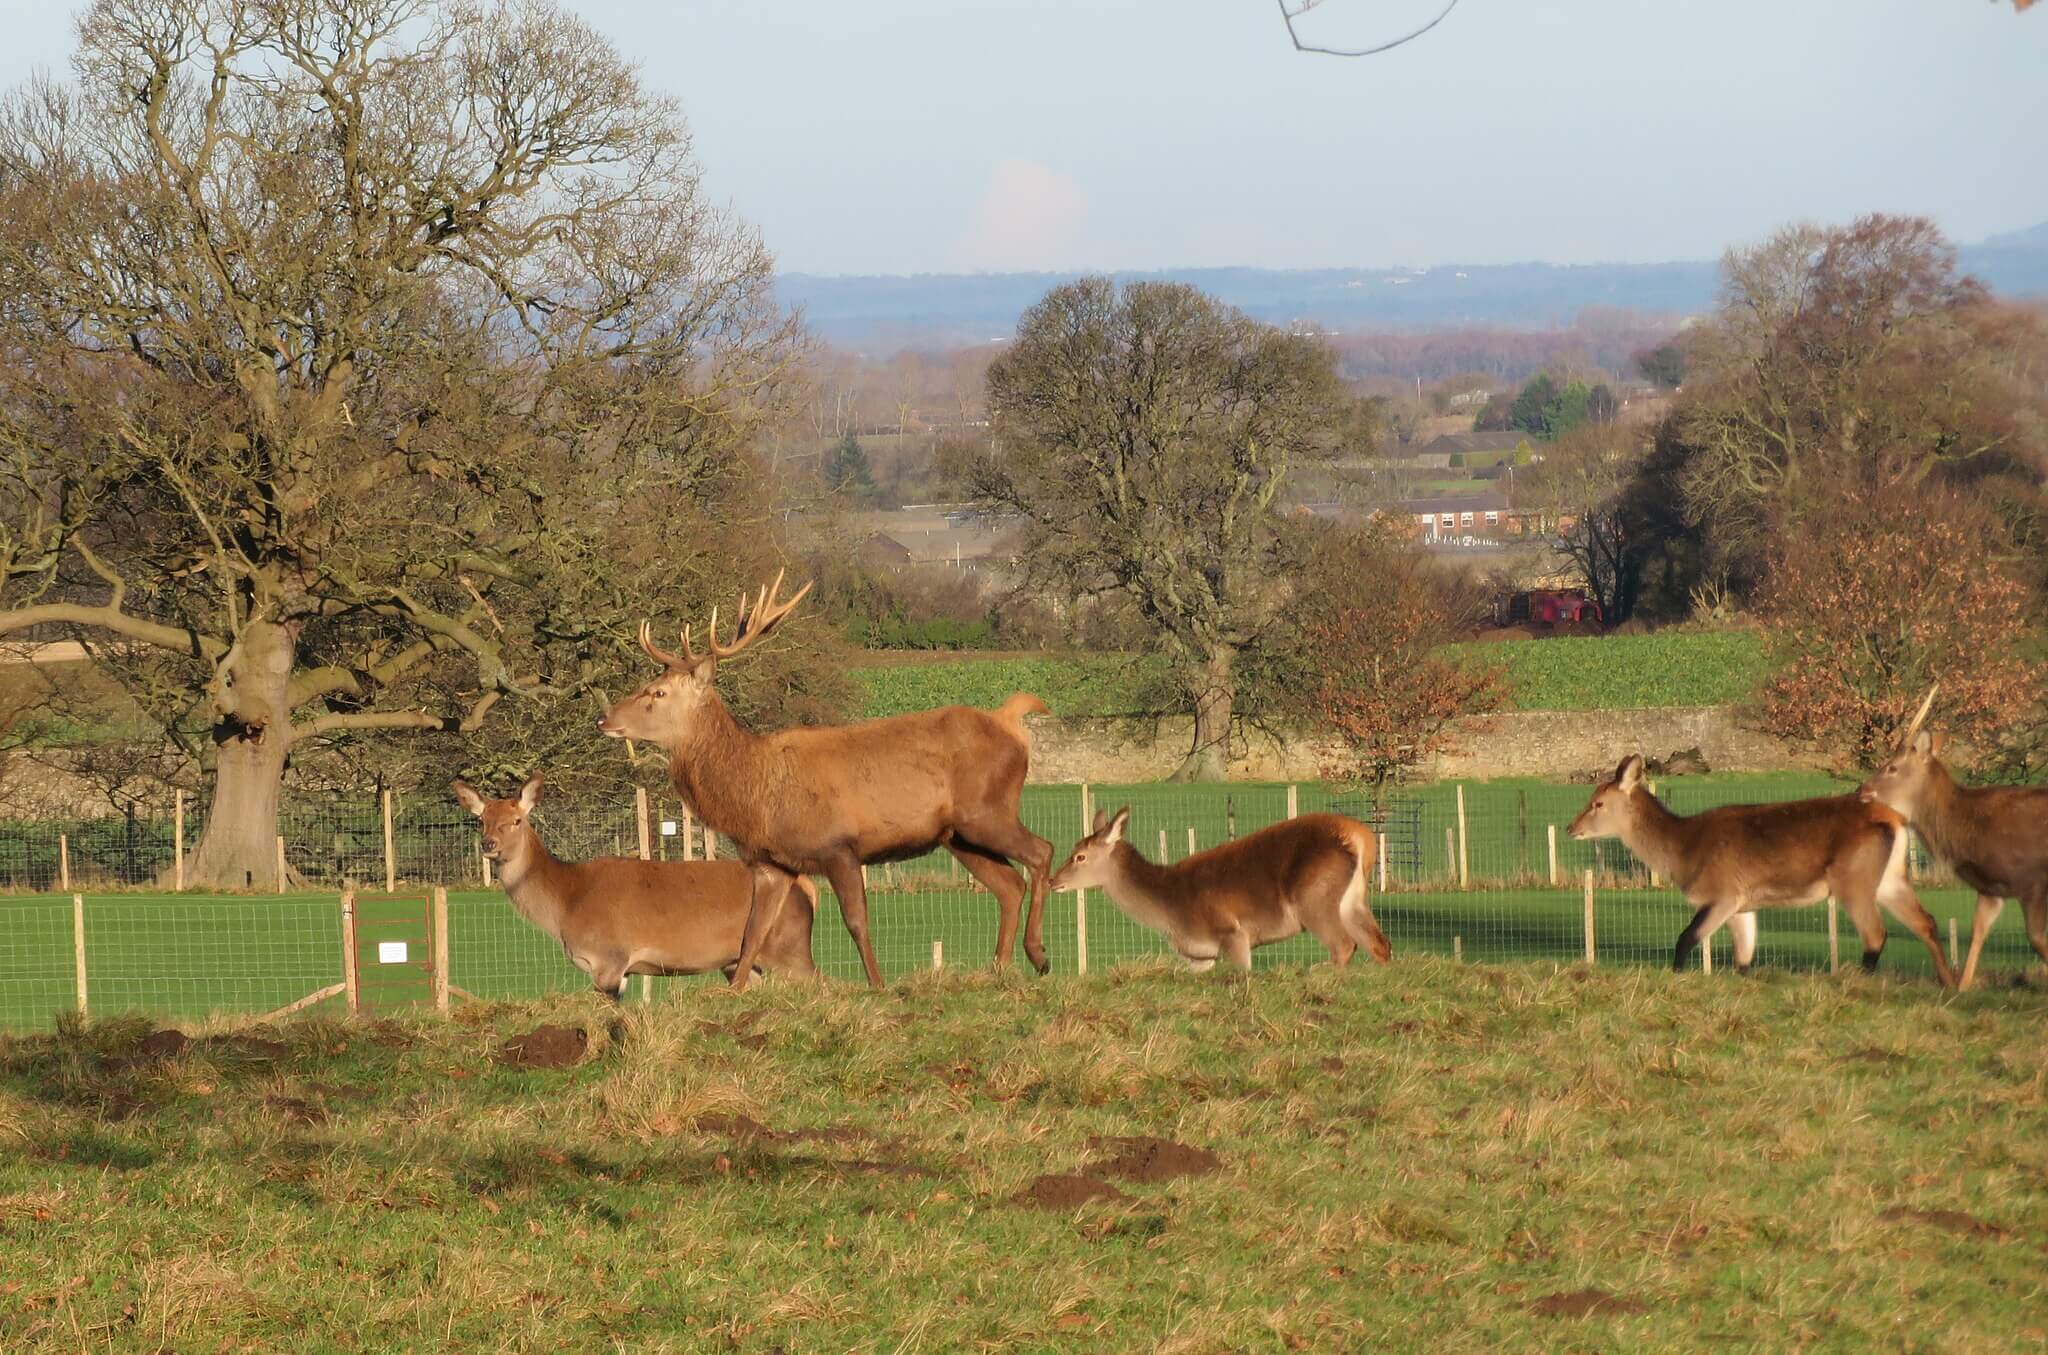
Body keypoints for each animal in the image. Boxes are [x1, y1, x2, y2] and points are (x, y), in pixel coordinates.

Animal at [451, 773, 818, 998]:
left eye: (516, 820)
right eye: (481, 819)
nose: (488, 844)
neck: (565, 904)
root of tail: (807, 887)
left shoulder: (609, 960)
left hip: (789, 948)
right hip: (740, 961)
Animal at [596, 571, 1056, 992]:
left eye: (658, 693)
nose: (605, 720)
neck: (756, 795)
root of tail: (1010, 723)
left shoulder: (838, 846)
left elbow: (856, 921)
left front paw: (878, 985)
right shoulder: (771, 863)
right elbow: (752, 933)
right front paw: (735, 991)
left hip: (987, 810)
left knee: (1041, 852)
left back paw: (1037, 954)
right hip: (958, 835)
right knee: (1009, 884)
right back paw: (999, 968)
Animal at [1048, 807, 1391, 972]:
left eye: (1079, 856)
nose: (1053, 880)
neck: (1169, 911)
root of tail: (1362, 838)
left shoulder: (1232, 932)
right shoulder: (1198, 957)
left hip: (1314, 898)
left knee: (1344, 945)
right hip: (1353, 900)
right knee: (1379, 944)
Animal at [1569, 754, 1958, 986]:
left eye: (1597, 803)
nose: (1573, 827)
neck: (1684, 852)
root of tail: (1896, 819)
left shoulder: (1723, 892)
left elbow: (1686, 938)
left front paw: (1676, 976)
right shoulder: (1745, 904)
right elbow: (1744, 959)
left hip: (1853, 878)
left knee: (1875, 933)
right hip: (1891, 879)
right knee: (1926, 922)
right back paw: (1949, 982)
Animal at [1858, 685, 2048, 990]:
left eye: (1892, 767)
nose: (1862, 790)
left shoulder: (2033, 881)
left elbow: (2037, 939)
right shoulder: (1991, 887)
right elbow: (1978, 933)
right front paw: (1961, 985)